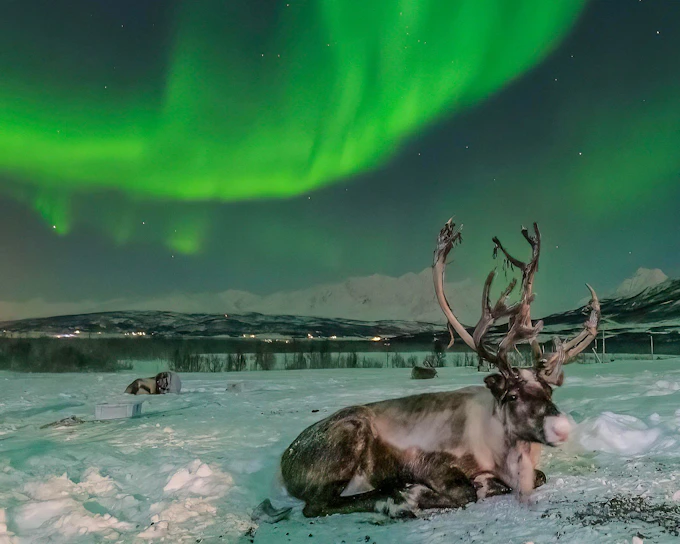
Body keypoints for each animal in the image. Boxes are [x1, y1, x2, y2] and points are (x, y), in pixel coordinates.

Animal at [265, 219, 600, 519]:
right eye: (513, 395)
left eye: (548, 391)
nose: (561, 426)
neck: (499, 446)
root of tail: (285, 460)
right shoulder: (429, 462)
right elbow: (466, 491)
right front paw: (417, 493)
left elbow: (537, 476)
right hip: (348, 439)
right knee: (317, 505)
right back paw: (395, 502)